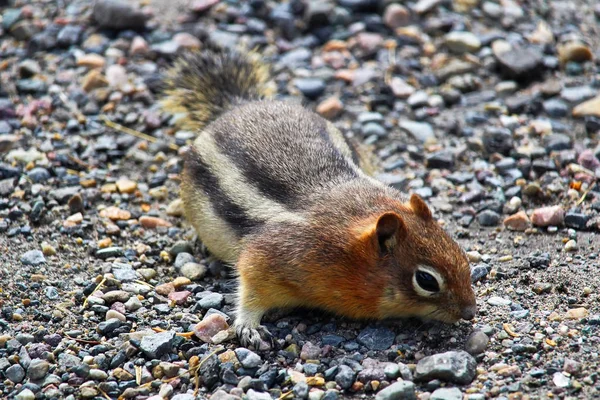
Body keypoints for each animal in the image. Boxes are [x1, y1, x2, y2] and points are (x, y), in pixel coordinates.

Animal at [161, 45, 478, 348]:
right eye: (426, 280)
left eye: (462, 253)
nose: (470, 312)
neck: (347, 251)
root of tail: (240, 103)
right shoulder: (266, 256)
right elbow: (249, 290)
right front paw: (249, 326)